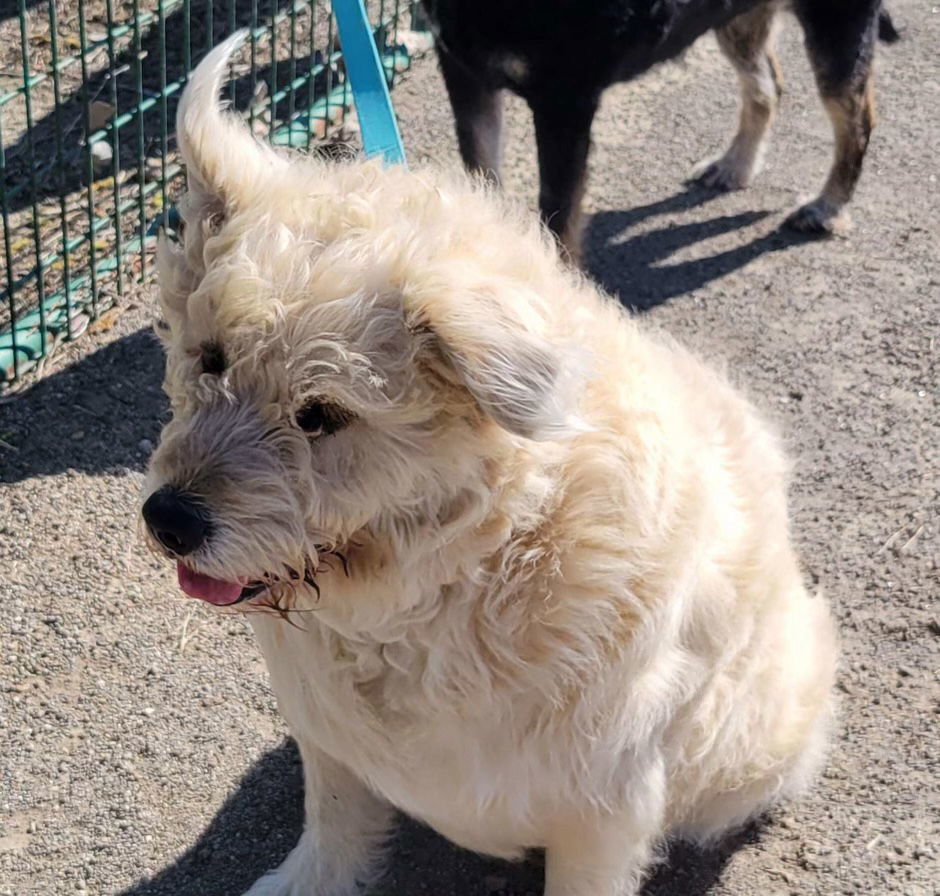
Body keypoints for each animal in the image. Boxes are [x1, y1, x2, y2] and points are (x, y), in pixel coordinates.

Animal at [145, 35, 836, 896]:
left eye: (321, 414)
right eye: (209, 359)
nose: (168, 521)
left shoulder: (606, 812)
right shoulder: (331, 738)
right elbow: (334, 827)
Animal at [422, 0, 900, 260]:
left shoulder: (566, 100)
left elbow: (558, 217)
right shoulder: (464, 72)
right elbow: (480, 173)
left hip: (837, 26)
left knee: (857, 123)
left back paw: (827, 207)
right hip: (735, 18)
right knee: (767, 86)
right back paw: (736, 164)